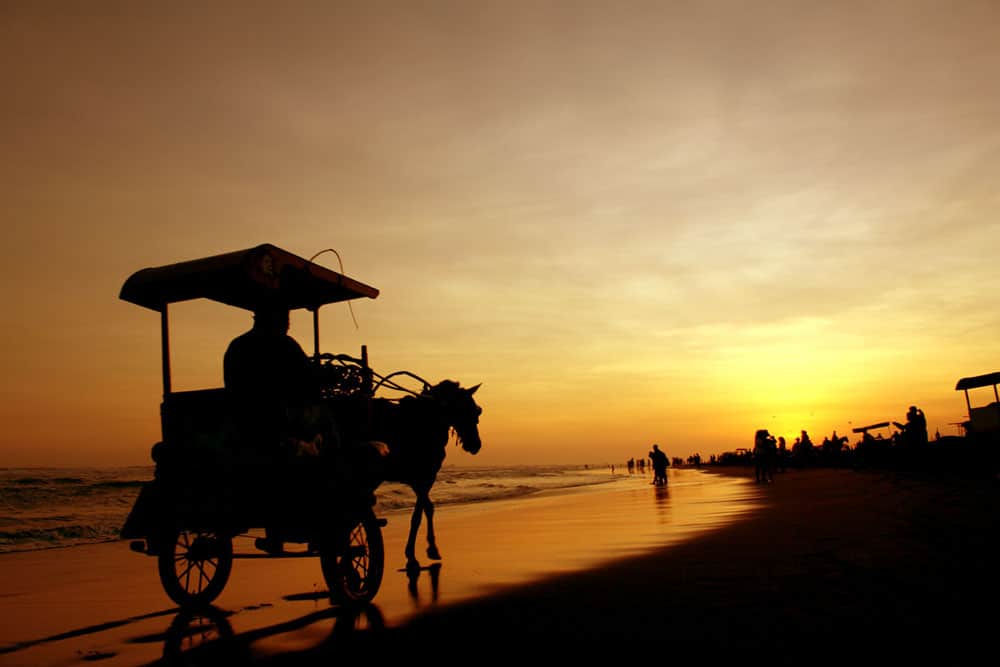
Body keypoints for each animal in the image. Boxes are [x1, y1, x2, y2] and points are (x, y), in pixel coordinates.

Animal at [370, 380, 482, 568]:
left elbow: (428, 508)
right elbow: (418, 515)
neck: (426, 420)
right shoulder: (424, 477)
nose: (476, 445)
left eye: (476, 411)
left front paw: (431, 548)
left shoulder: (419, 480)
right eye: (466, 409)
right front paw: (413, 555)